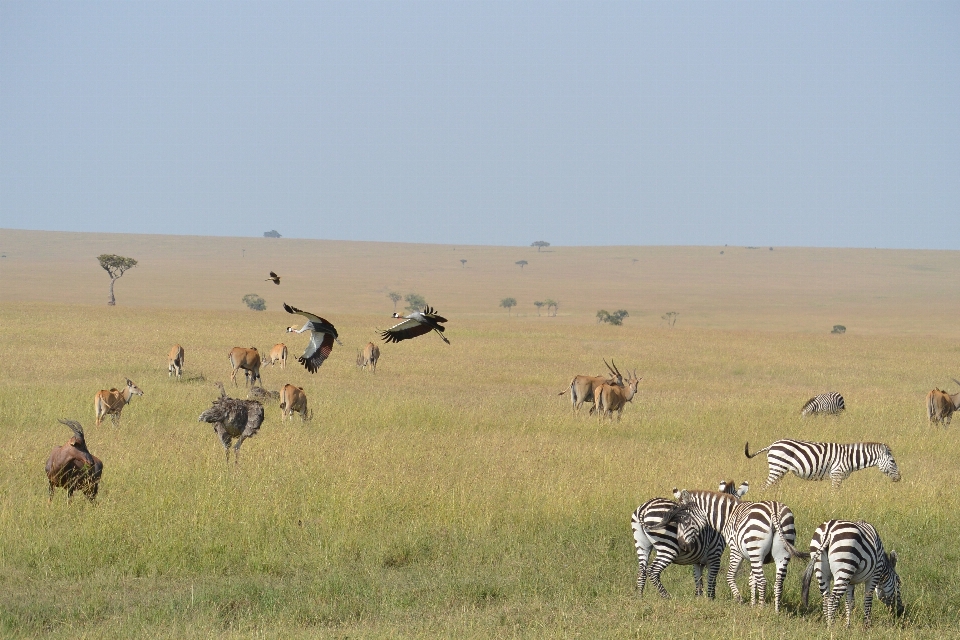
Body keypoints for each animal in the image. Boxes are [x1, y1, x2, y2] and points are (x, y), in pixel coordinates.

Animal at [676, 490, 808, 608]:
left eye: (685, 520)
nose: (681, 544)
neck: (728, 516)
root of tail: (774, 510)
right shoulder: (755, 558)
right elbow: (752, 580)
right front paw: (752, 605)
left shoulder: (736, 551)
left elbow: (730, 576)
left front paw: (739, 599)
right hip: (782, 551)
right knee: (778, 583)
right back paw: (776, 611)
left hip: (755, 549)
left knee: (763, 581)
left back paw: (761, 610)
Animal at [744, 440, 900, 490]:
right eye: (893, 462)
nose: (899, 478)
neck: (849, 458)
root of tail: (772, 445)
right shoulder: (837, 475)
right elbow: (834, 494)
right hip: (777, 468)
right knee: (764, 487)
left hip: (780, 470)